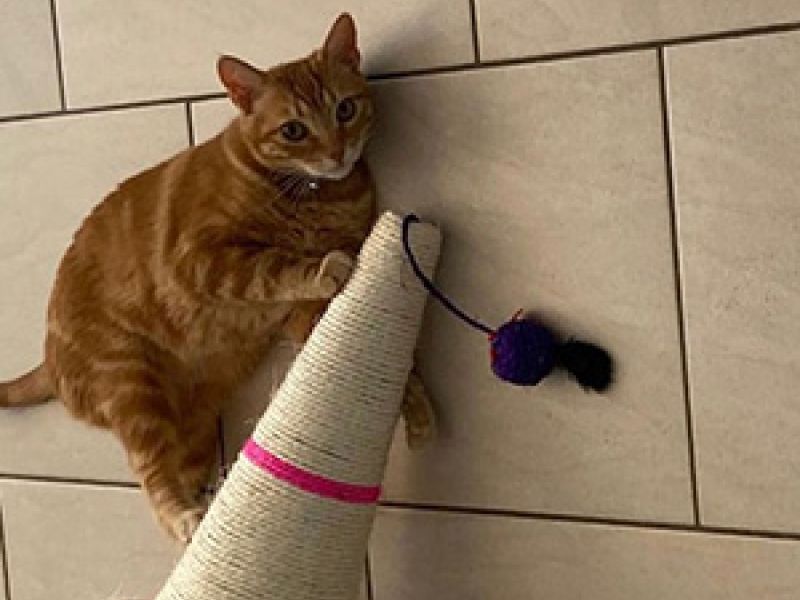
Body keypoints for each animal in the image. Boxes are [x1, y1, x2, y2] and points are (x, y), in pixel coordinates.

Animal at [0, 13, 435, 543]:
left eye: (345, 109)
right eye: (294, 130)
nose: (337, 153)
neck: (314, 195)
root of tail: (47, 356)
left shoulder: (308, 317)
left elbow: (400, 368)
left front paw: (417, 411)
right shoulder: (202, 258)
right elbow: (274, 266)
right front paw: (320, 266)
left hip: (195, 428)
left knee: (179, 470)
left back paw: (212, 515)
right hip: (130, 386)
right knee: (152, 475)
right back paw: (185, 519)